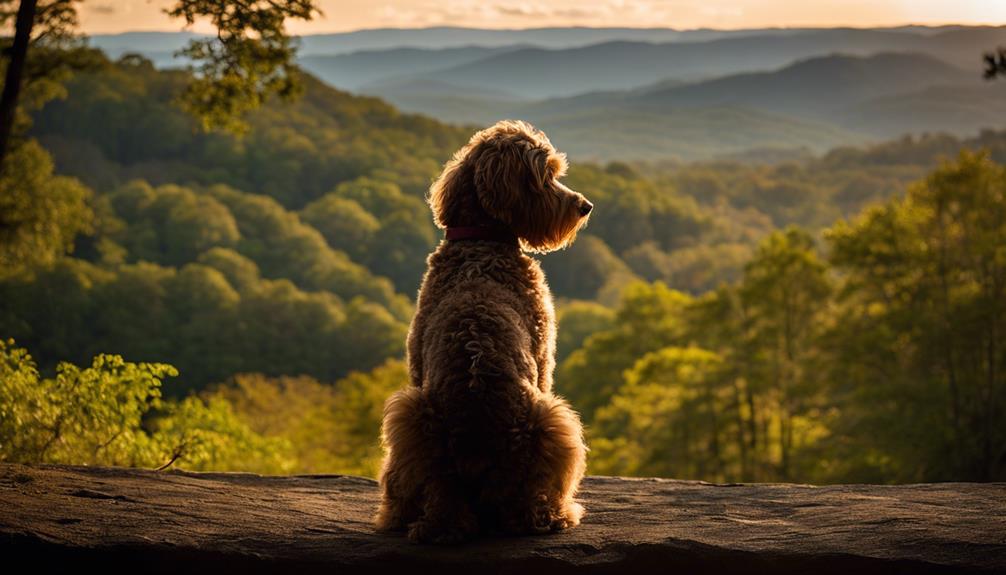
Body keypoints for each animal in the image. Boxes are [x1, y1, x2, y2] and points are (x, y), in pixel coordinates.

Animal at [374, 120, 591, 542]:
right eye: (547, 175)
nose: (585, 206)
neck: (480, 242)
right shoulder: (544, 360)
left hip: (410, 416)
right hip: (555, 420)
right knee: (531, 512)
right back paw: (561, 512)